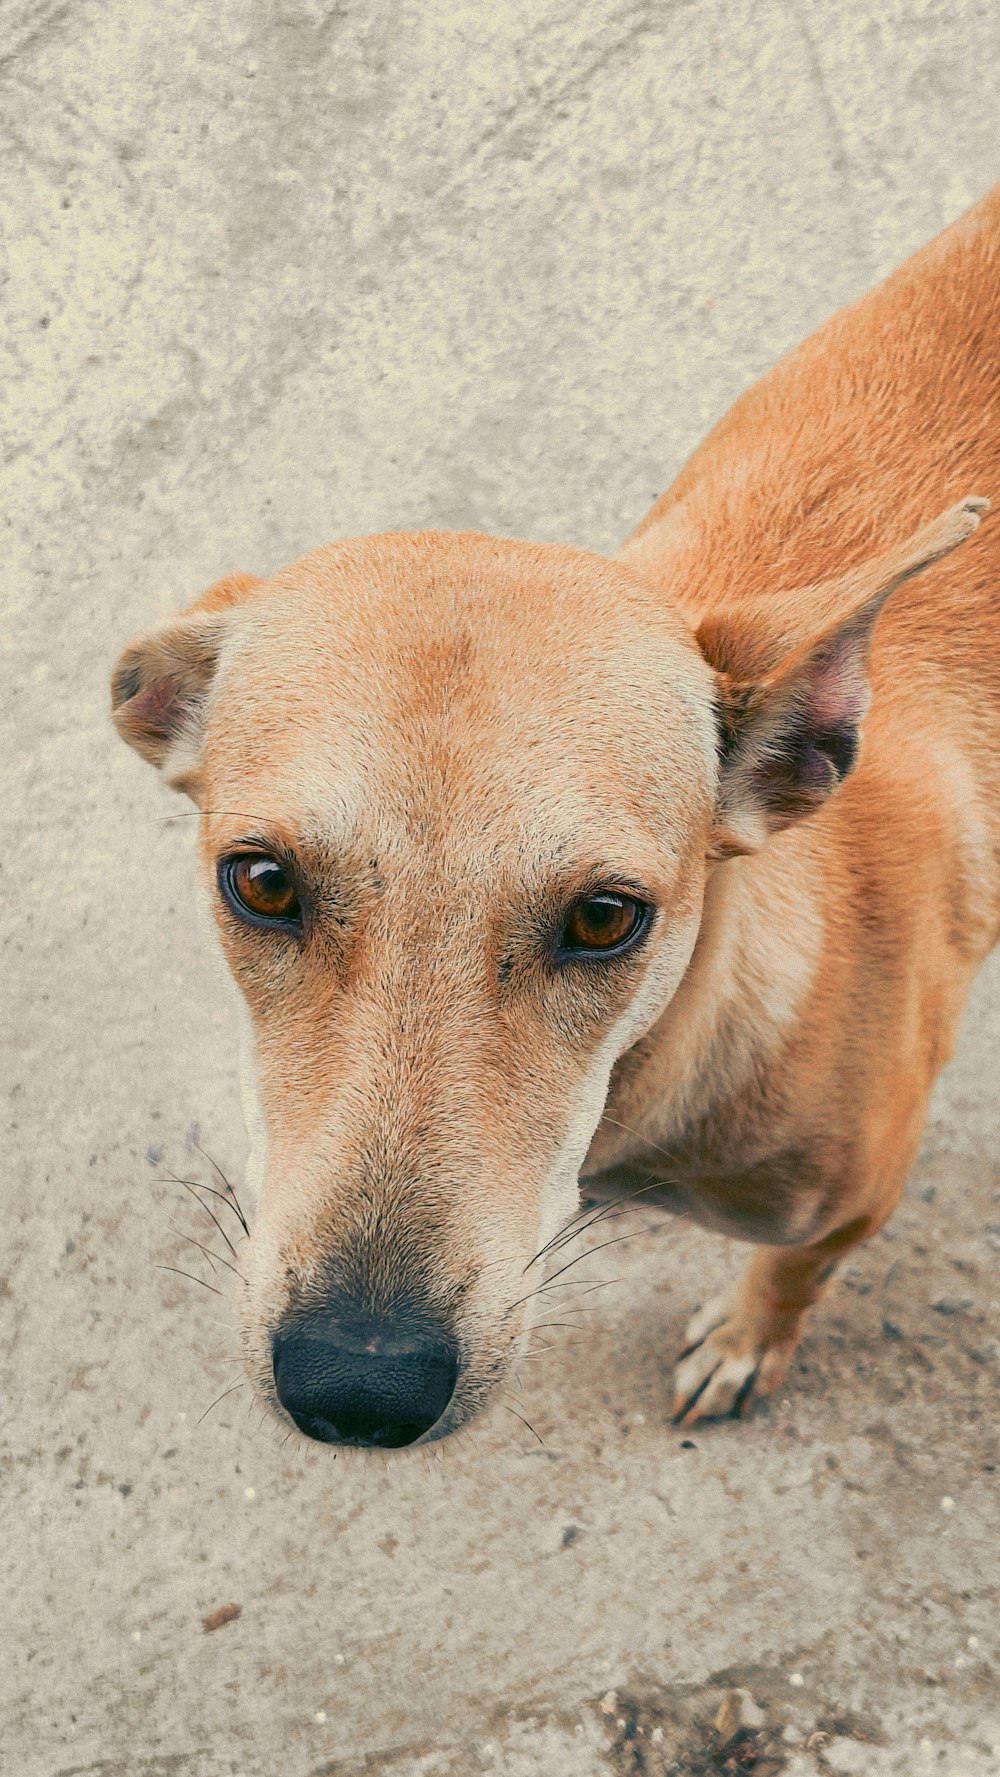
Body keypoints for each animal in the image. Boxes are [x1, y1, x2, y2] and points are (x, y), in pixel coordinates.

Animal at [113, 187, 994, 1450]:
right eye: (262, 882)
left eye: (607, 918)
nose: (359, 1384)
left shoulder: (845, 1207)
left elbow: (790, 1275)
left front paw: (746, 1337)